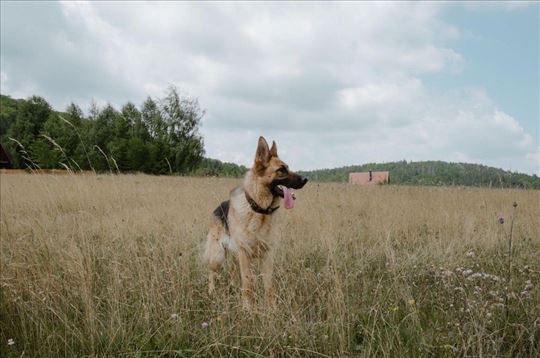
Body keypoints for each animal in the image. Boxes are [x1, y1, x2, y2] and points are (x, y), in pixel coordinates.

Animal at [205, 136, 308, 310]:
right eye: (281, 170)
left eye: (288, 168)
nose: (306, 179)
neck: (259, 211)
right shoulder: (244, 253)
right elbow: (248, 284)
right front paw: (247, 308)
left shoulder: (267, 255)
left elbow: (268, 285)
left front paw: (272, 309)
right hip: (217, 255)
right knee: (212, 273)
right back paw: (211, 293)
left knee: (233, 272)